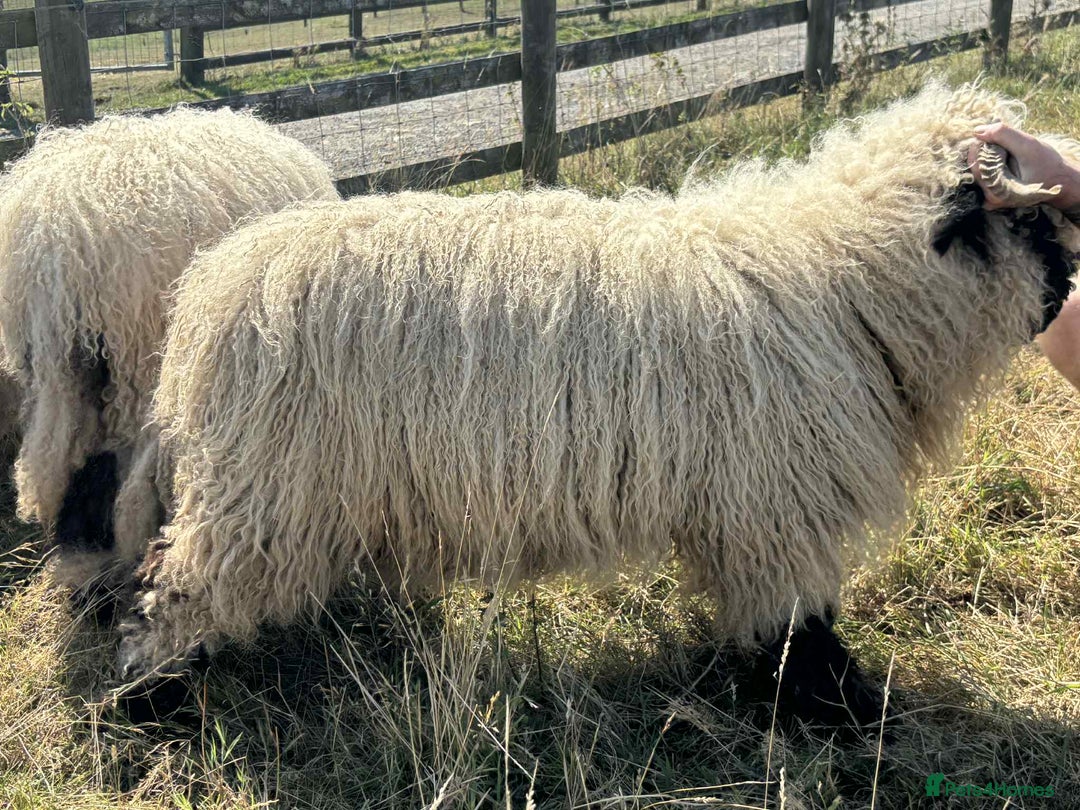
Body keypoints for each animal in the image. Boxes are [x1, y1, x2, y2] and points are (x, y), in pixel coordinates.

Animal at [0, 108, 339, 590]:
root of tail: (67, 246)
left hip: (66, 375)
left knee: (67, 455)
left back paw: (82, 558)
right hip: (137, 366)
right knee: (119, 465)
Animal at [116, 83, 1078, 729]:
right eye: (1034, 223)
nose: (1068, 293)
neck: (846, 279)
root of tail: (211, 288)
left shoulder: (749, 509)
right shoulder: (776, 508)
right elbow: (797, 626)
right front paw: (841, 711)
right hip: (264, 484)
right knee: (179, 584)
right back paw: (149, 696)